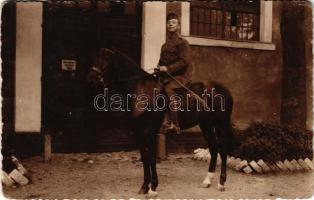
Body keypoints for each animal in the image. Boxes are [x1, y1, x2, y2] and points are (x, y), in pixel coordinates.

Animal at [87, 48, 234, 197]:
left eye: (106, 58)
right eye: (94, 57)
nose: (91, 79)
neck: (141, 91)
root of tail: (224, 89)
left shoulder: (149, 132)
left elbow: (151, 158)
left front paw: (153, 188)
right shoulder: (139, 132)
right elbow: (144, 158)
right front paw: (144, 186)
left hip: (220, 124)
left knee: (223, 150)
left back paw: (221, 183)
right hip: (206, 125)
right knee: (214, 148)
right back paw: (207, 180)